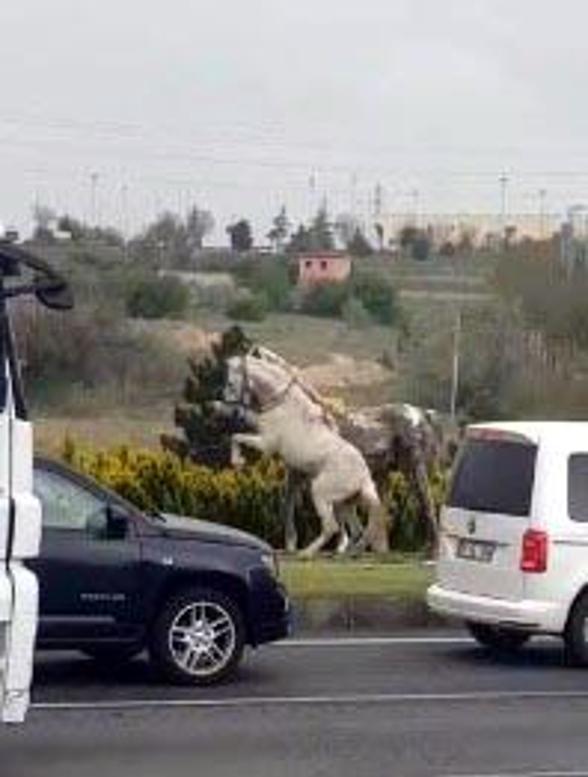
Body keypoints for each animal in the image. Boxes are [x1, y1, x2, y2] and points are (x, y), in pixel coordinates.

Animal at [223, 348, 392, 556]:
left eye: (231, 383)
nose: (233, 410)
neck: (283, 403)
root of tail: (363, 478)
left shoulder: (267, 444)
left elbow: (236, 437)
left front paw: (237, 462)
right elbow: (236, 436)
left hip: (320, 492)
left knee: (332, 527)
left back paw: (307, 552)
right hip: (344, 504)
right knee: (357, 530)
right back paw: (346, 553)